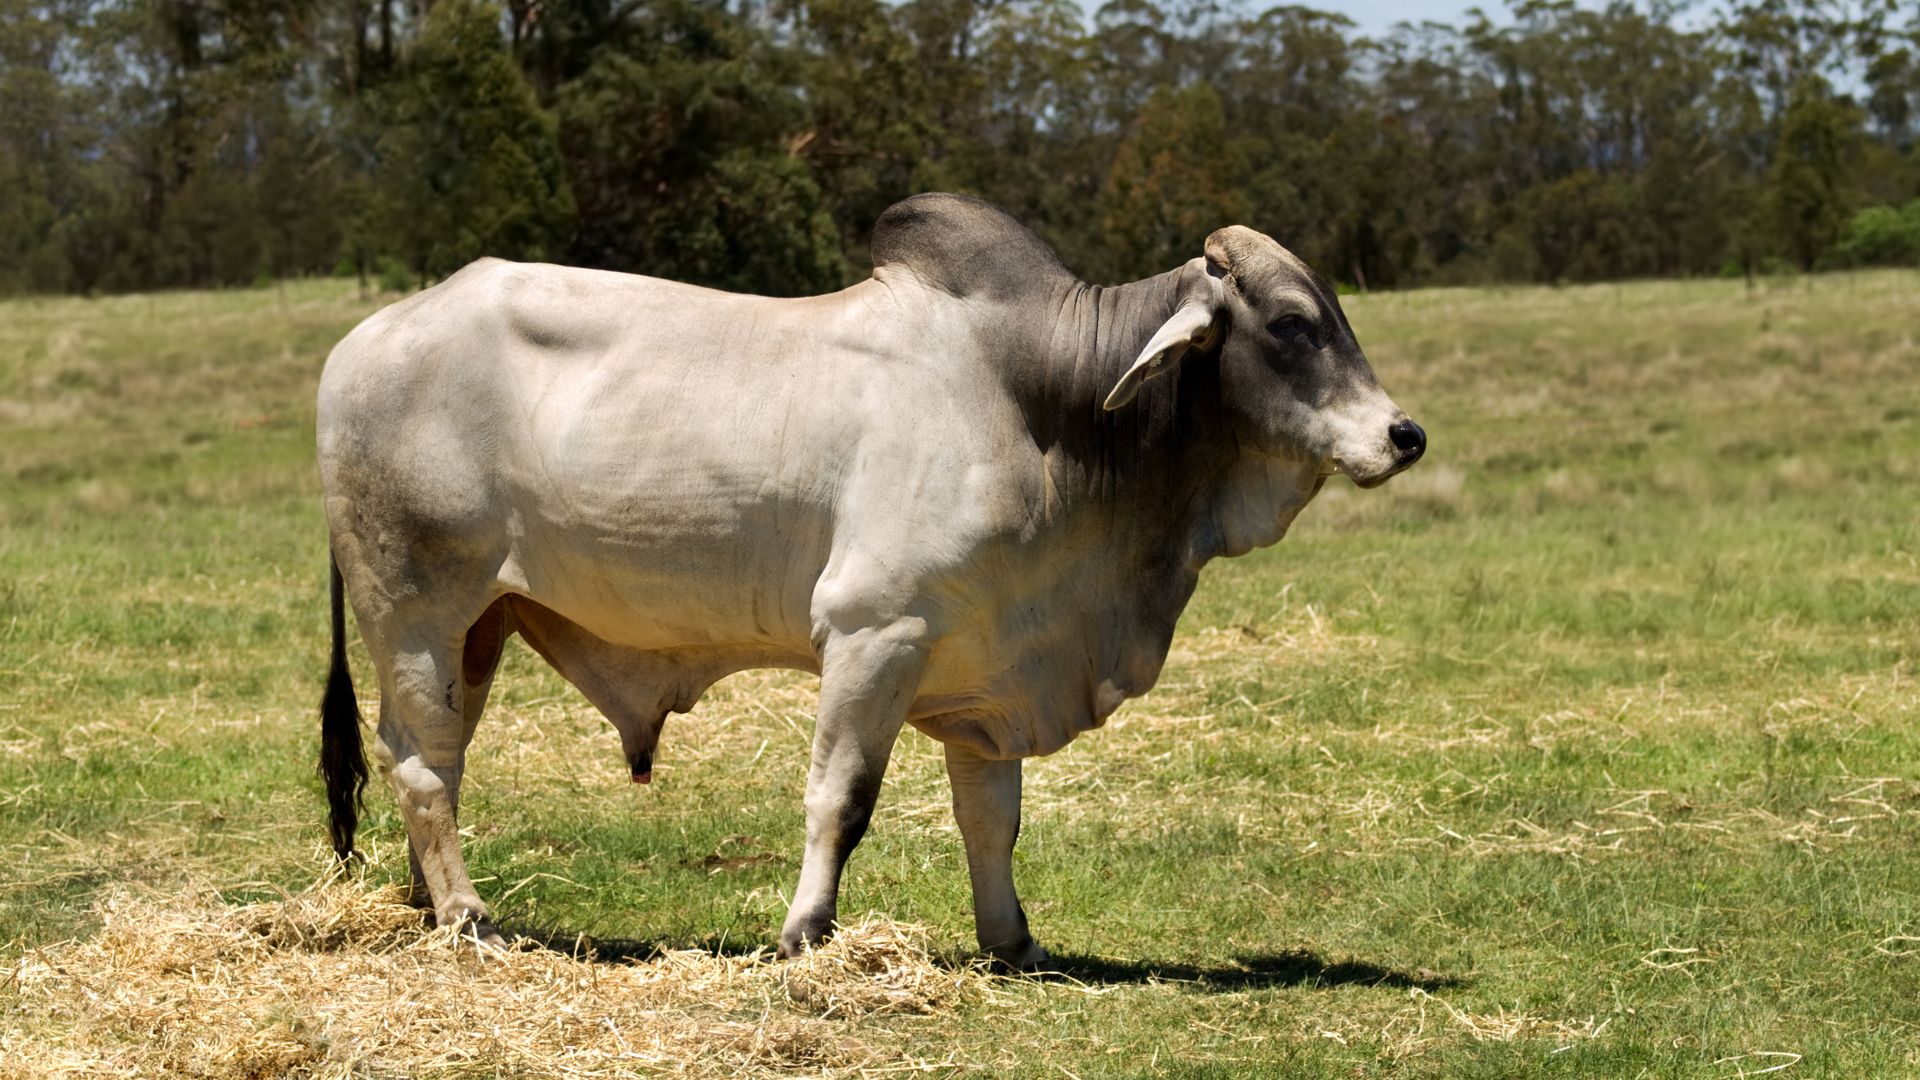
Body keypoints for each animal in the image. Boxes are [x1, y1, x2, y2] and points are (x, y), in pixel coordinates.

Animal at [316, 193, 1425, 970]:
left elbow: (993, 818)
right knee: (420, 763)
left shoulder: (988, 671)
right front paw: (806, 932)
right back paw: (467, 917)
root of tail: (360, 343)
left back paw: (429, 904)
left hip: (482, 626)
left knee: (440, 759)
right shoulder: (874, 633)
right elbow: (840, 799)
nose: (1403, 434)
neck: (1044, 403)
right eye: (1291, 325)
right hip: (415, 612)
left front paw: (1012, 940)